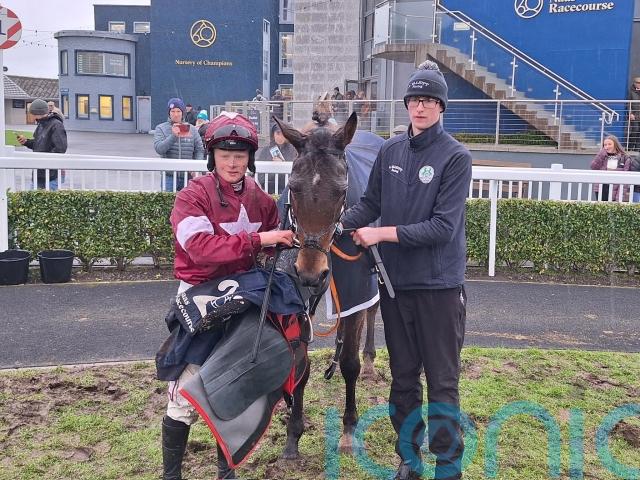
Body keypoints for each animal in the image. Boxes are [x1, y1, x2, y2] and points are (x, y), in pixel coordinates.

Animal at [273, 112, 382, 459]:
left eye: (340, 191)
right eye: (293, 187)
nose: (311, 273)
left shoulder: (356, 288)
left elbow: (349, 362)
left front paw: (348, 430)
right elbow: (300, 366)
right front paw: (293, 435)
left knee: (373, 309)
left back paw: (370, 361)